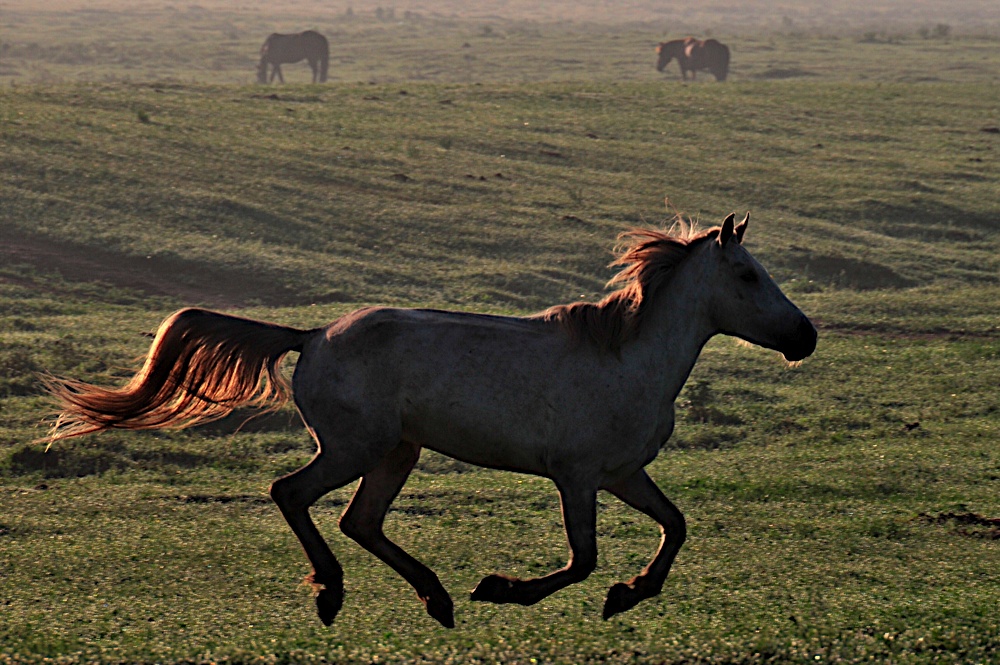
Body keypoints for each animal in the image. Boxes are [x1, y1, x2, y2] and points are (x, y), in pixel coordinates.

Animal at [45, 213, 815, 629]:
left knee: (360, 520)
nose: (804, 337)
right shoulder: (577, 476)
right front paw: (504, 589)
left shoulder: (625, 474)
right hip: (356, 448)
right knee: (292, 493)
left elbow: (676, 527)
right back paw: (336, 592)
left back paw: (435, 598)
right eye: (747, 275)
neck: (627, 358)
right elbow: (582, 558)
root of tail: (313, 335)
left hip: (396, 453)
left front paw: (628, 596)